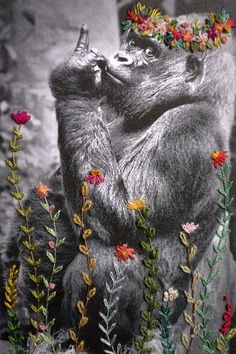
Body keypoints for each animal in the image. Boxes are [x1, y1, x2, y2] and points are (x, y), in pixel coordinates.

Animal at [0, 11, 236, 354]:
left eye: (150, 52)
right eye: (133, 44)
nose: (122, 57)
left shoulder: (188, 127)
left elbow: (123, 218)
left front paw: (77, 83)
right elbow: (50, 195)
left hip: (155, 332)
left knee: (108, 262)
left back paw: (103, 343)